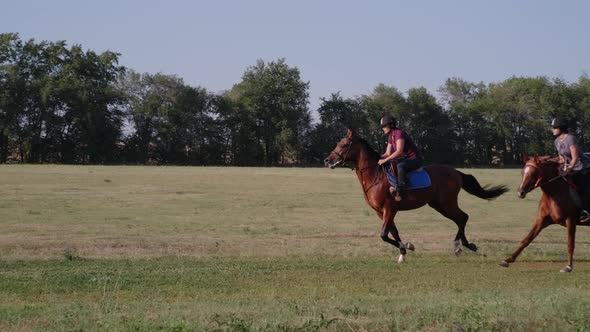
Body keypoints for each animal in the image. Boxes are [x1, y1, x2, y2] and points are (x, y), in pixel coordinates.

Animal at [324, 130, 508, 262]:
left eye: (343, 144)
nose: (327, 160)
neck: (375, 175)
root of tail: (456, 172)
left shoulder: (389, 208)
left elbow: (384, 234)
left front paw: (407, 246)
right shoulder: (381, 211)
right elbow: (393, 232)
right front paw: (403, 251)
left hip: (446, 204)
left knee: (463, 217)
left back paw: (459, 246)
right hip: (439, 205)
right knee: (461, 218)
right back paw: (467, 246)